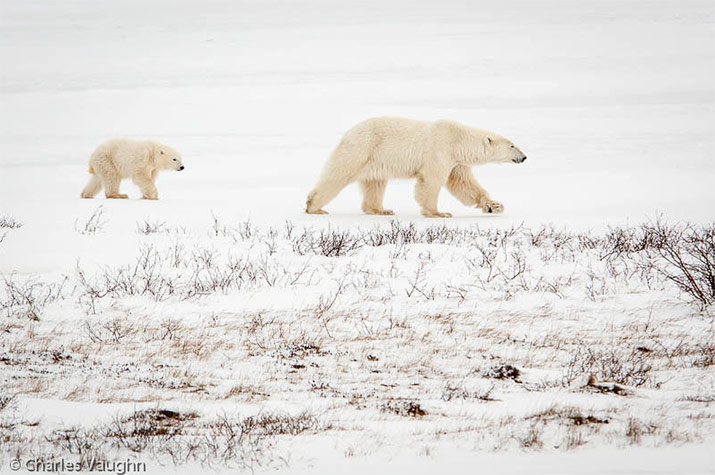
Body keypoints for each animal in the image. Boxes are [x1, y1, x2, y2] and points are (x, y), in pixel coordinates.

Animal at [306, 117, 524, 218]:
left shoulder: (456, 162)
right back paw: (314, 207)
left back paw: (381, 210)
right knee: (338, 175)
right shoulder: (440, 149)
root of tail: (348, 132)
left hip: (375, 160)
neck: (458, 140)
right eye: (512, 145)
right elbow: (431, 181)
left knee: (375, 183)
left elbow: (463, 184)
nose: (524, 157)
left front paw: (494, 205)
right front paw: (439, 213)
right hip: (361, 149)